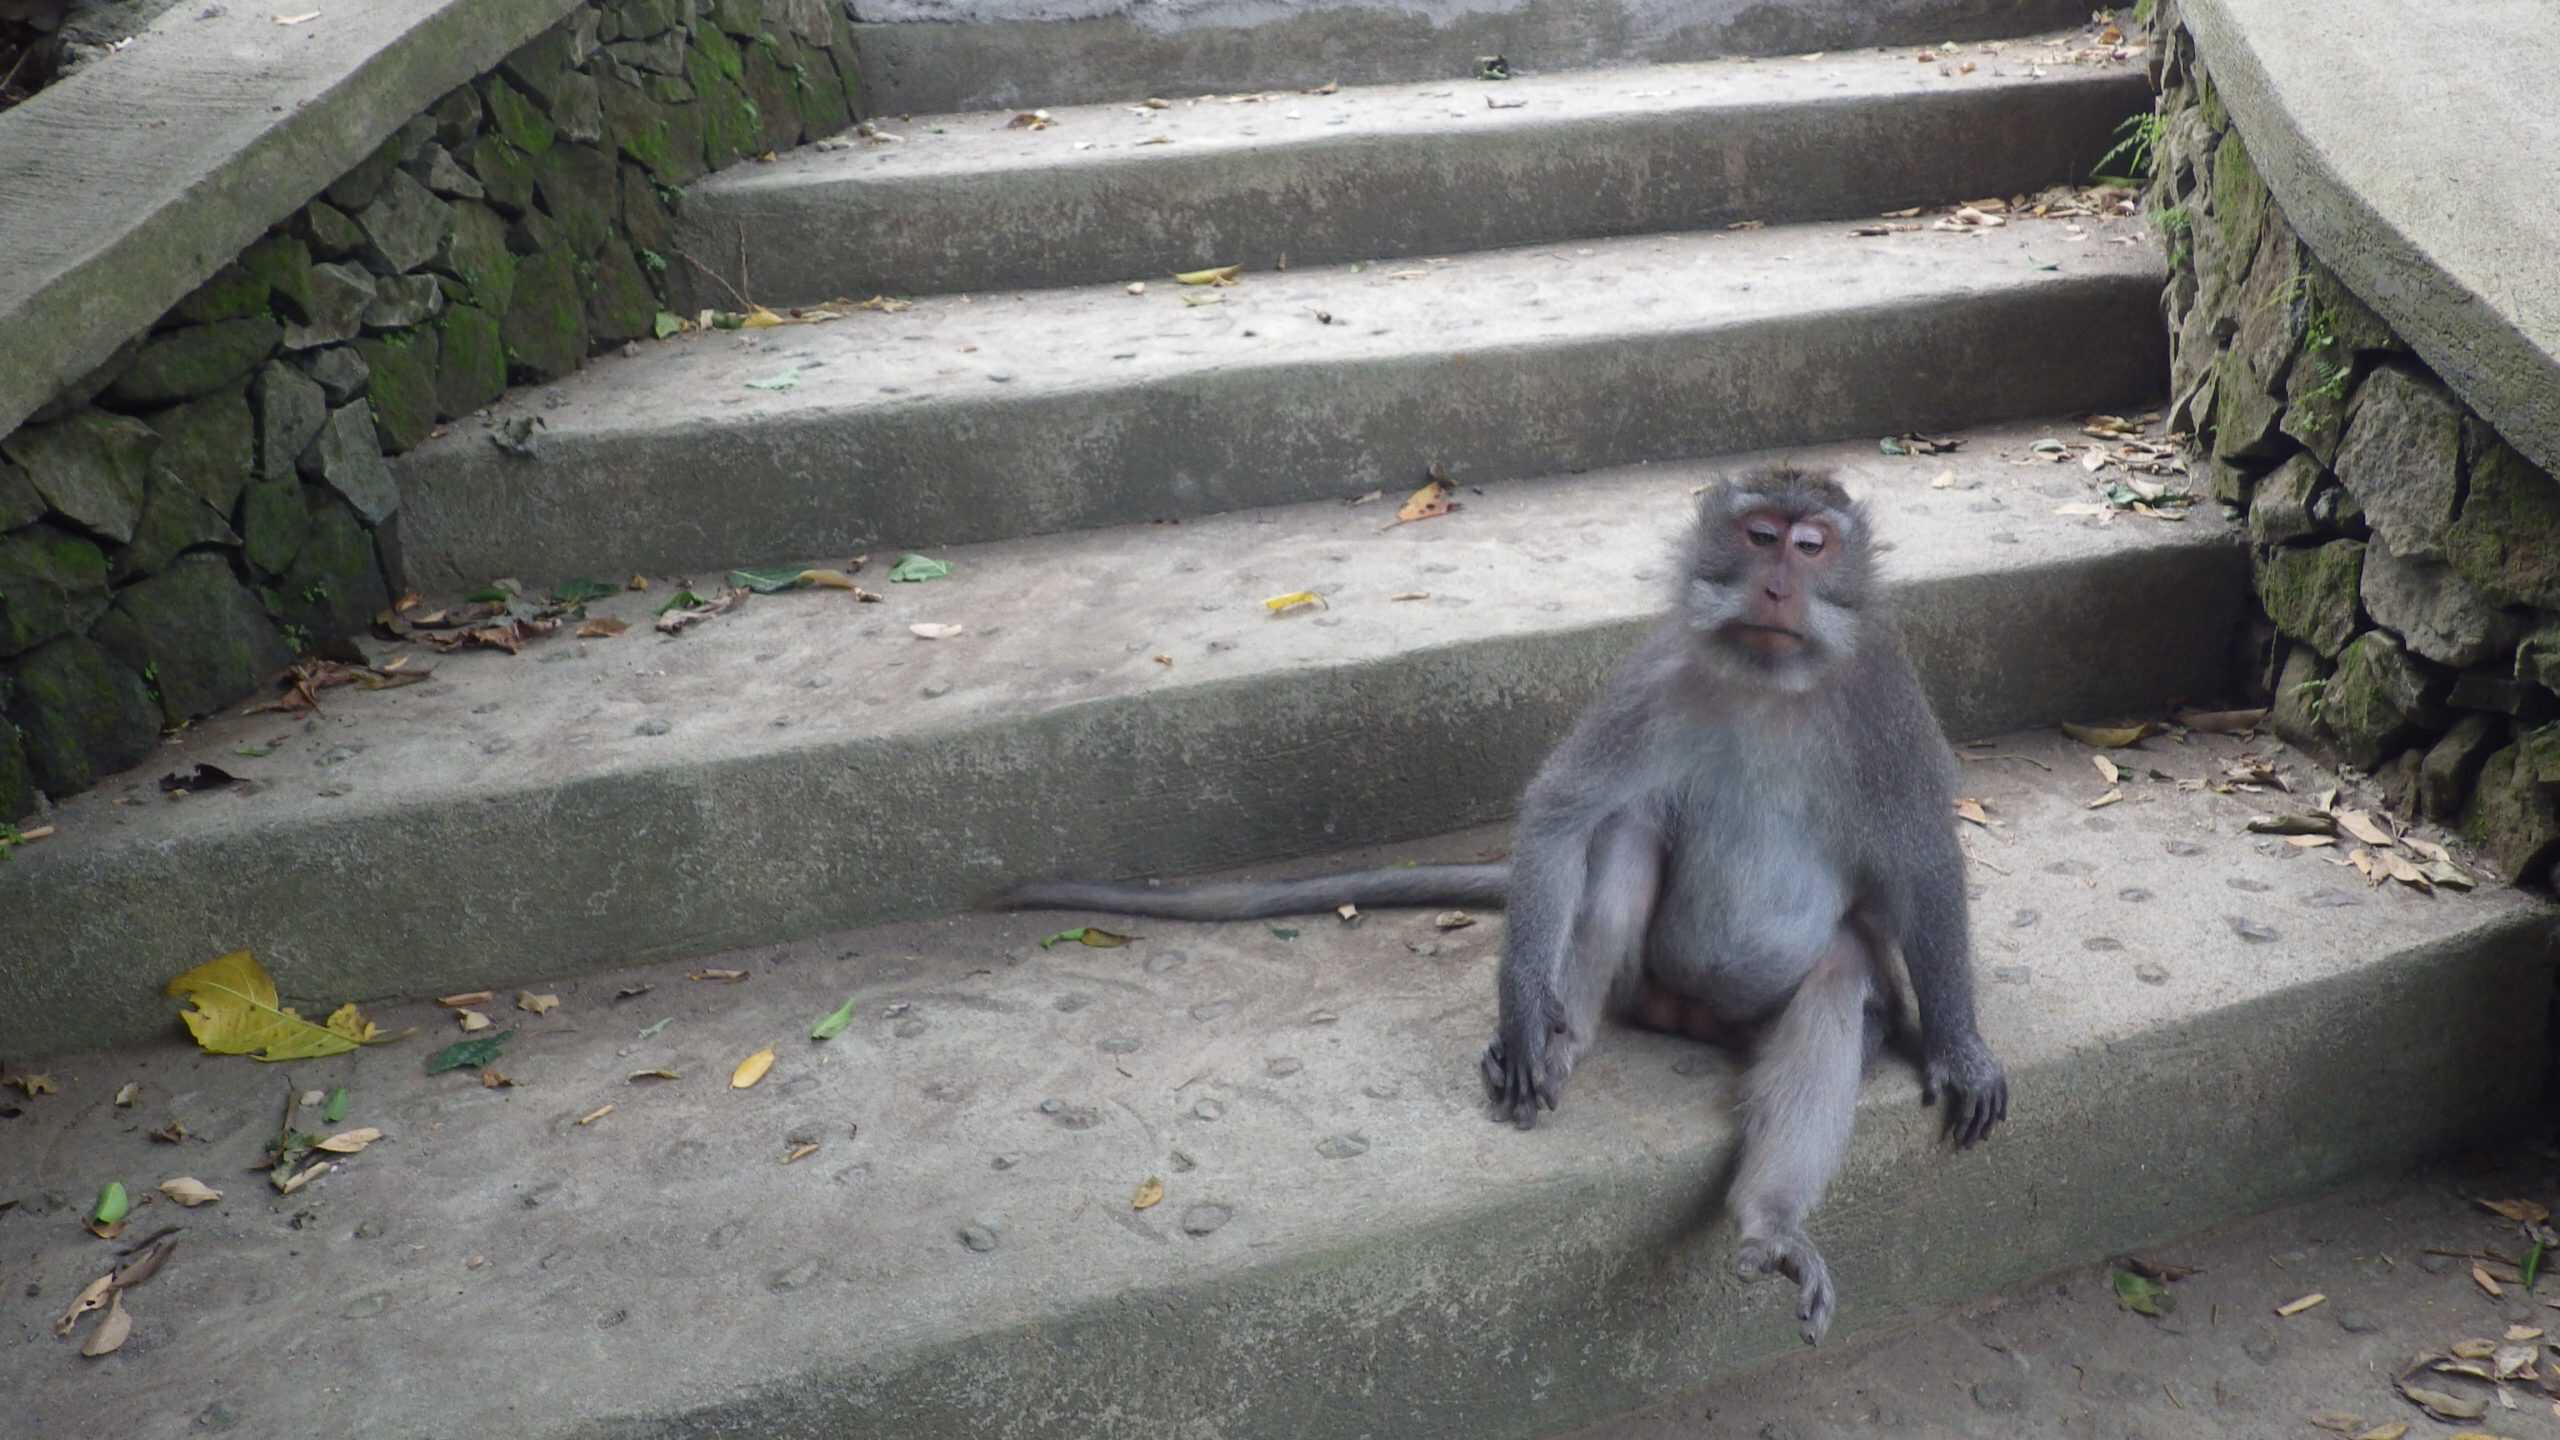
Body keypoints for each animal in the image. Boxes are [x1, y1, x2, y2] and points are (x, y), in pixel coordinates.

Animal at [1004, 465, 2008, 1344]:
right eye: (1761, 537)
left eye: (1811, 545)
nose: (1773, 588)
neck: (1768, 680)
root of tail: (1693, 1017)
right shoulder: (1653, 676)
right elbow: (1564, 813)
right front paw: (1526, 1016)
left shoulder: (1885, 701)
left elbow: (1923, 860)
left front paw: (1959, 1046)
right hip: (1646, 976)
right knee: (1623, 836)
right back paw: (1566, 1043)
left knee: (1838, 984)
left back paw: (1772, 1226)